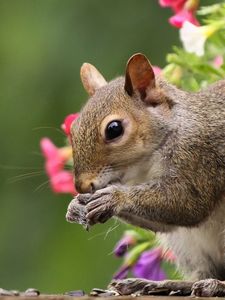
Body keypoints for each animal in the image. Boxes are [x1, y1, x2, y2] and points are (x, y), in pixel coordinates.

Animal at [66, 54, 225, 298]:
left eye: (114, 129)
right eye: (73, 128)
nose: (82, 186)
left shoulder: (199, 159)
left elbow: (189, 204)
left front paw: (113, 198)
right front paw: (75, 207)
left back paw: (215, 285)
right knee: (204, 272)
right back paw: (164, 284)